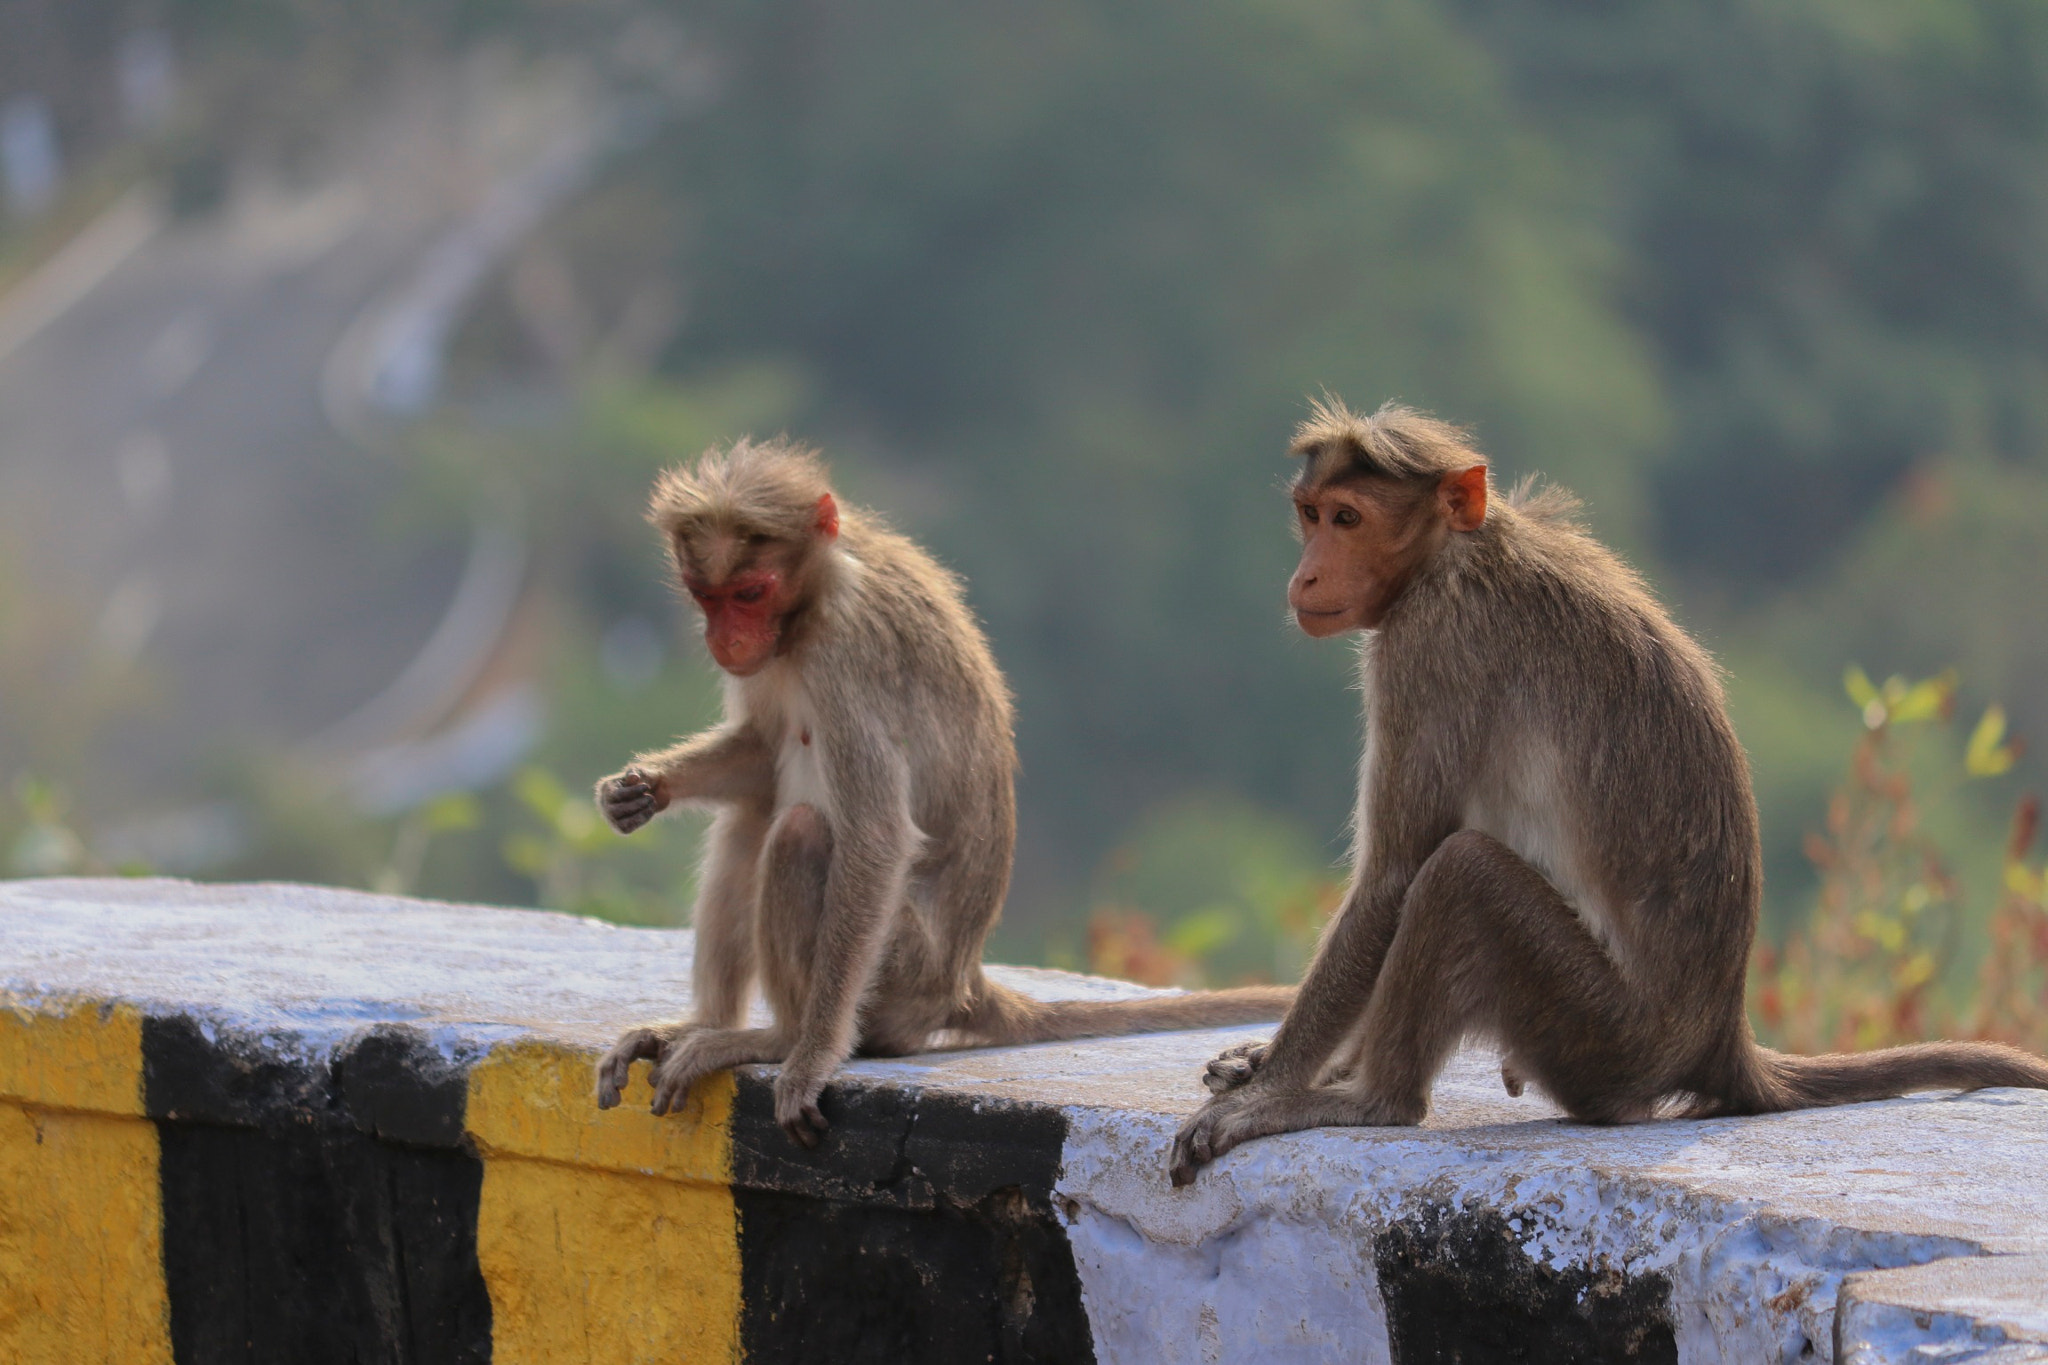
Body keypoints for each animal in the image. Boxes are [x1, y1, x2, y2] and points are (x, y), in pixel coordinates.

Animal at [591, 437, 1294, 1146]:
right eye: (706, 597)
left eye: (750, 593)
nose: (725, 640)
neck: (819, 593)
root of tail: (963, 981)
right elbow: (763, 755)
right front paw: (643, 787)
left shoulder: (847, 653)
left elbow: (876, 836)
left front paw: (811, 1055)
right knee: (752, 816)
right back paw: (700, 1023)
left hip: (900, 974)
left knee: (798, 831)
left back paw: (775, 1038)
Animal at [1167, 398, 2048, 1186]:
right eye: (1311, 513)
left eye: (1348, 518)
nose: (1306, 572)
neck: (1458, 551)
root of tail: (1718, 1035)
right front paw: (1265, 1062)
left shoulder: (1429, 643)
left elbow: (1393, 878)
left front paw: (1272, 1089)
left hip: (1603, 1030)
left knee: (1461, 876)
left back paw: (1372, 1100)